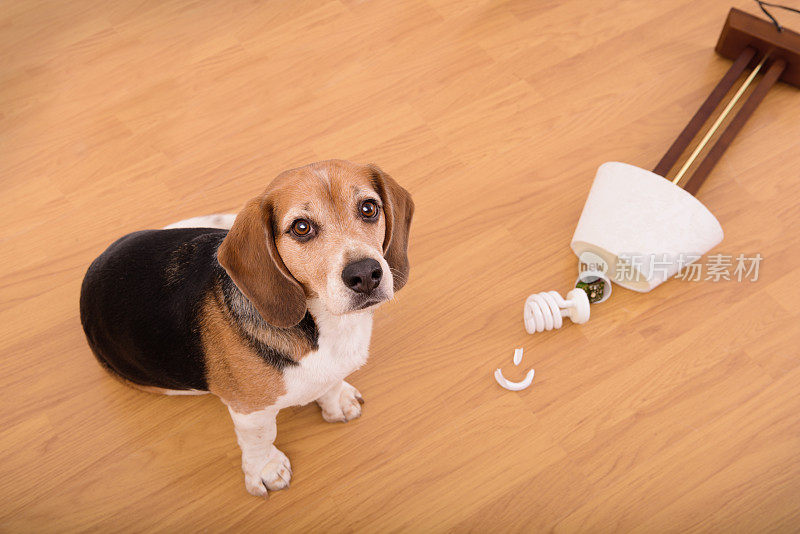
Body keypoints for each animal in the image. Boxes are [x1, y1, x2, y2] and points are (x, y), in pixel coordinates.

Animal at [80, 160, 416, 498]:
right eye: (301, 227)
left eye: (369, 208)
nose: (365, 274)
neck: (327, 325)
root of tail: (95, 264)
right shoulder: (250, 411)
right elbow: (261, 438)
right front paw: (266, 470)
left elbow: (330, 381)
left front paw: (336, 400)